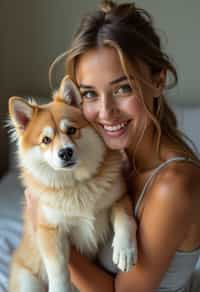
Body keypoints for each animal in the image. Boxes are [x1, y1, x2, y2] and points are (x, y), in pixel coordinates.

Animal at [7, 76, 137, 290]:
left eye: (71, 130)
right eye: (46, 140)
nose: (65, 152)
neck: (77, 184)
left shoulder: (120, 197)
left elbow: (125, 220)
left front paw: (124, 250)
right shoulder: (49, 229)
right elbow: (58, 267)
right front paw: (60, 287)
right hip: (28, 281)